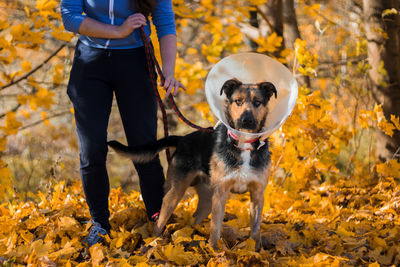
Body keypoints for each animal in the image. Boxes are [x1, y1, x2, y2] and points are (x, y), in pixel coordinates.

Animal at [108, 78, 276, 251]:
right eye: (238, 101)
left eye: (257, 102)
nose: (247, 120)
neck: (244, 144)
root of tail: (182, 139)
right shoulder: (221, 193)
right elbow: (215, 228)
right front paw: (214, 251)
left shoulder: (257, 194)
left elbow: (255, 230)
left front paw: (257, 251)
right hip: (176, 192)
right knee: (160, 219)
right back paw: (153, 243)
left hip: (207, 199)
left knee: (194, 219)